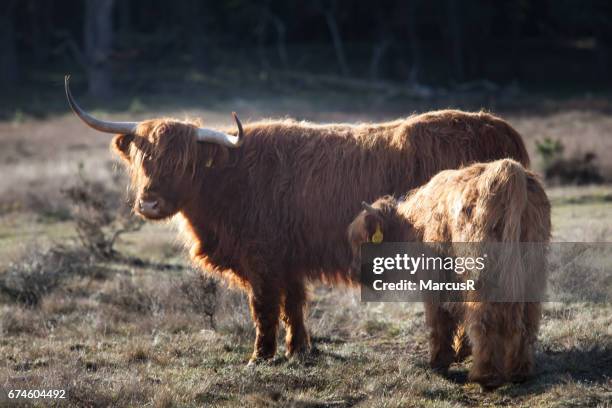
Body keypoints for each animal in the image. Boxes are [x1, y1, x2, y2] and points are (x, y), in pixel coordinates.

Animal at [63, 75, 532, 364]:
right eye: (143, 159)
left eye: (185, 163)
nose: (151, 204)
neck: (231, 180)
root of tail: (498, 127)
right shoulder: (287, 259)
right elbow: (294, 305)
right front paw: (299, 350)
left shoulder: (262, 258)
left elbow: (264, 308)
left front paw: (259, 357)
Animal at [346, 159, 552, 388]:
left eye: (361, 242)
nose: (353, 272)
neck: (416, 225)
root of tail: (509, 168)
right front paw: (461, 350)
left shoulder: (435, 278)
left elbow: (438, 319)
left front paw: (439, 361)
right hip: (531, 268)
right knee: (527, 319)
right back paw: (519, 371)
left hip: (482, 271)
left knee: (485, 317)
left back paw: (486, 375)